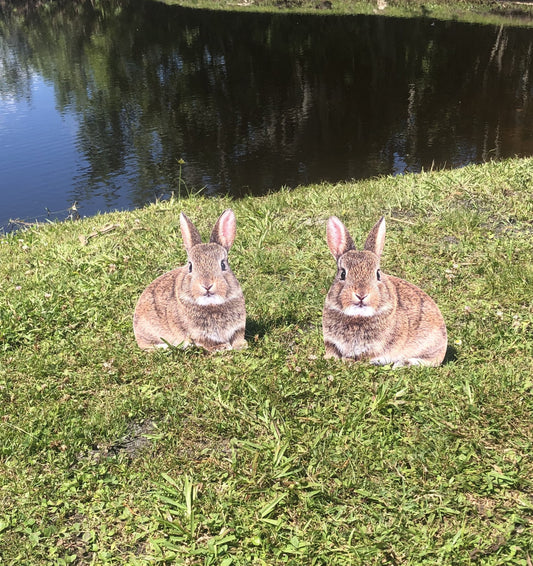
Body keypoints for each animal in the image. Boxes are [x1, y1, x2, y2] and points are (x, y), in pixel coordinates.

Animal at [135, 209, 247, 352]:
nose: (207, 285)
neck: (211, 304)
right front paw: (222, 347)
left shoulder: (238, 328)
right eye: (190, 266)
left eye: (223, 265)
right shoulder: (199, 334)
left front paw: (242, 345)